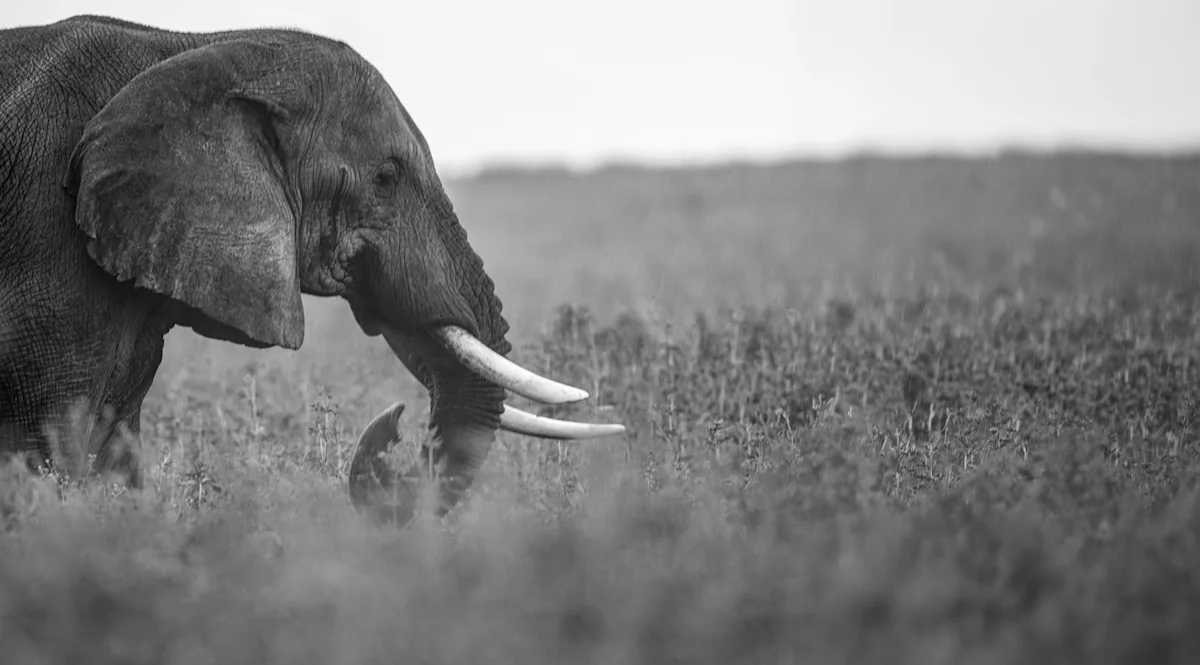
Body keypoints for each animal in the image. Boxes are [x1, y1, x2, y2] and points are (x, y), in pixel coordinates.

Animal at [0, 15, 624, 526]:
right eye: (386, 178)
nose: (393, 420)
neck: (193, 46)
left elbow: (116, 445)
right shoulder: (47, 259)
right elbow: (51, 447)